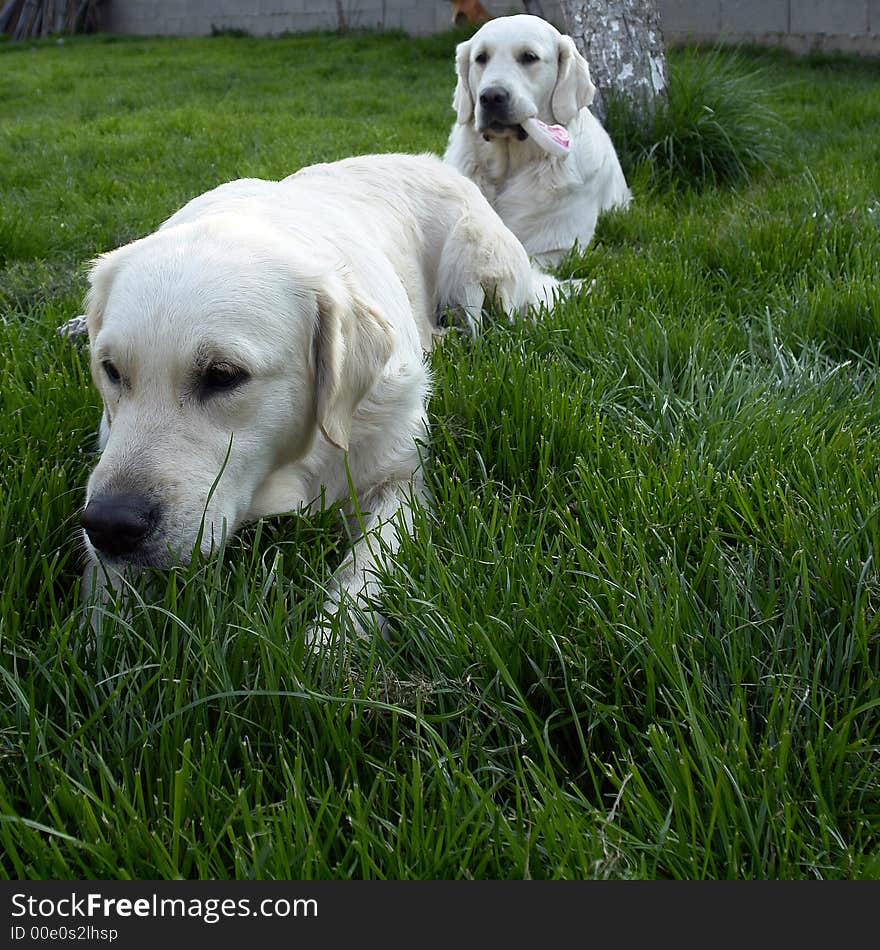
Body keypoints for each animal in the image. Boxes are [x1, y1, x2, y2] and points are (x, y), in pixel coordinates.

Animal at [72, 152, 560, 644]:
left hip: (478, 266)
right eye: (111, 371)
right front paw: (101, 636)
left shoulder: (401, 476)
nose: (110, 525)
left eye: (222, 375)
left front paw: (326, 645)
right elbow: (103, 600)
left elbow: (362, 577)